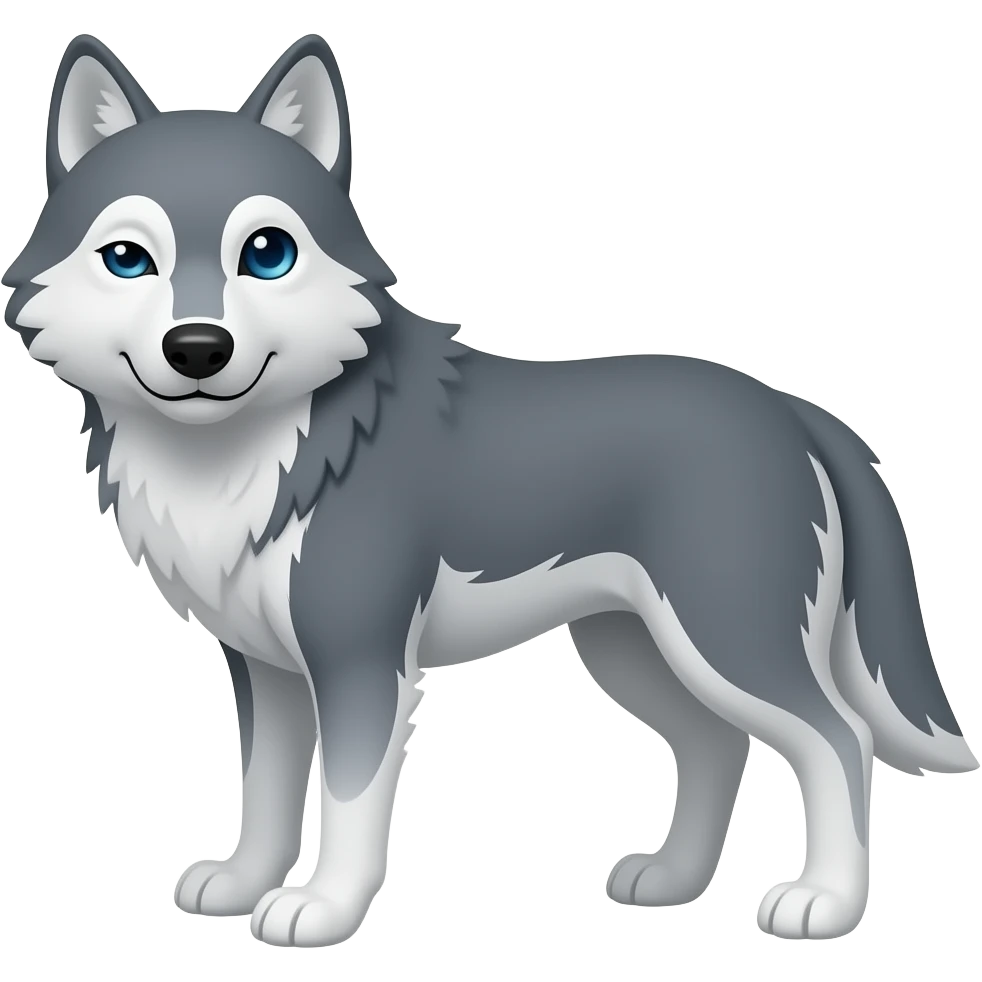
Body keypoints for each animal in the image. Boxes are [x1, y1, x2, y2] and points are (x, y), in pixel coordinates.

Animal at [3, 31, 976, 948]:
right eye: (128, 259)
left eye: (267, 254)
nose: (199, 349)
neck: (249, 454)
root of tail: (794, 409)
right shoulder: (267, 669)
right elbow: (267, 791)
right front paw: (243, 886)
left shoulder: (361, 660)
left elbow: (348, 801)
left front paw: (322, 910)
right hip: (635, 649)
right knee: (716, 743)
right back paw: (672, 881)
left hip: (726, 637)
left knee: (839, 741)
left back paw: (824, 903)